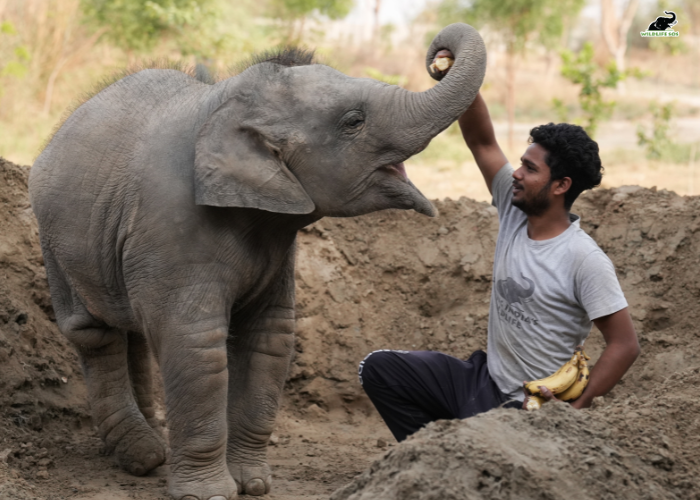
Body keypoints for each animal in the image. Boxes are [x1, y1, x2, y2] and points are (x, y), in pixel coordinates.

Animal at [28, 23, 486, 500]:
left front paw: (255, 484)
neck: (225, 104)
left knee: (130, 329)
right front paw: (210, 494)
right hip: (53, 239)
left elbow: (269, 338)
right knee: (95, 335)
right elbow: (196, 343)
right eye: (353, 121)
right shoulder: (170, 228)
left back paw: (150, 447)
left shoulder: (276, 245)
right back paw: (142, 455)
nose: (439, 58)